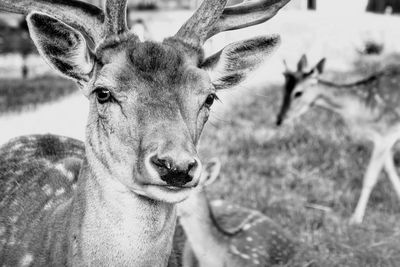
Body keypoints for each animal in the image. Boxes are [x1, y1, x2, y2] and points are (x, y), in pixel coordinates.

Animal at [276, 55, 400, 225]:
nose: (279, 119)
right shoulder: (380, 139)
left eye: (298, 93)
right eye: (283, 89)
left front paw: (355, 219)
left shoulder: (386, 133)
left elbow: (370, 177)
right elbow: (391, 172)